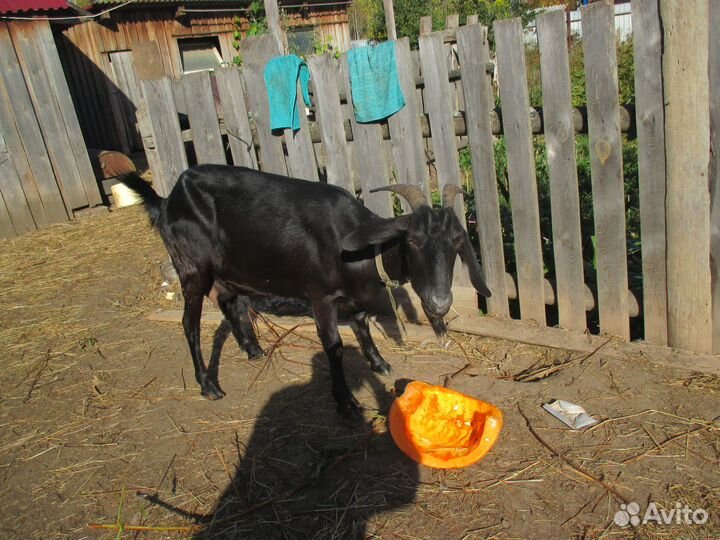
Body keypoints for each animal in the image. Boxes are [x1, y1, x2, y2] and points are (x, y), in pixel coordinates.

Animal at [121, 165, 491, 414]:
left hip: (227, 269)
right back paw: (208, 384)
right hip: (192, 268)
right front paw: (346, 400)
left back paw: (252, 349)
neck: (357, 246)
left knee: (229, 303)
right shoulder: (320, 297)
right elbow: (334, 346)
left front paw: (379, 362)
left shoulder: (354, 297)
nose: (440, 302)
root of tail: (167, 201)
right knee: (191, 323)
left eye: (457, 242)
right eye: (412, 241)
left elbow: (363, 325)